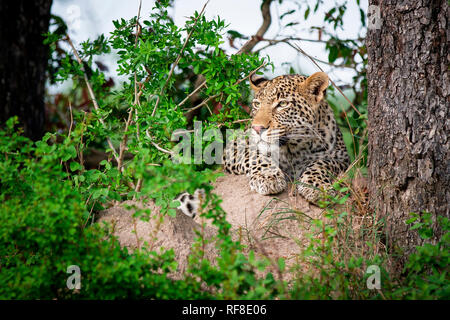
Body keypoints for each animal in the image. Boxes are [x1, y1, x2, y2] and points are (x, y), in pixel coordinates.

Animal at [178, 72, 350, 218]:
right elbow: (255, 156)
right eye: (256, 104)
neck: (293, 148)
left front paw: (316, 188)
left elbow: (321, 163)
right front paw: (268, 177)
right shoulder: (235, 147)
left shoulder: (342, 158)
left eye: (282, 104)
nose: (257, 128)